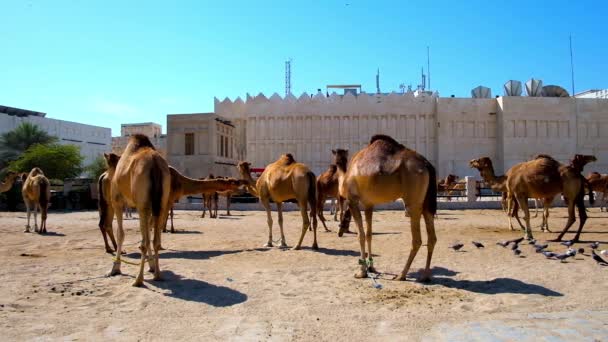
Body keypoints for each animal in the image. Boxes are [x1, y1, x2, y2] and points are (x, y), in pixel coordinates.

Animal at [107, 134, 172, 286]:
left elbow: (120, 234)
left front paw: (115, 268)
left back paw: (138, 279)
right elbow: (148, 232)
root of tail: (155, 164)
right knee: (154, 240)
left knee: (144, 242)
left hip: (142, 204)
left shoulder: (117, 202)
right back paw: (158, 275)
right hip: (160, 202)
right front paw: (152, 266)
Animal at [338, 135, 436, 282]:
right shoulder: (368, 203)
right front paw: (371, 267)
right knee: (432, 237)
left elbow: (361, 235)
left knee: (417, 240)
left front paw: (361, 272)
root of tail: (426, 164)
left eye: (342, 223)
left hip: (413, 203)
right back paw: (425, 276)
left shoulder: (352, 200)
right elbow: (369, 234)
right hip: (426, 203)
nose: (339, 233)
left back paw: (401, 275)